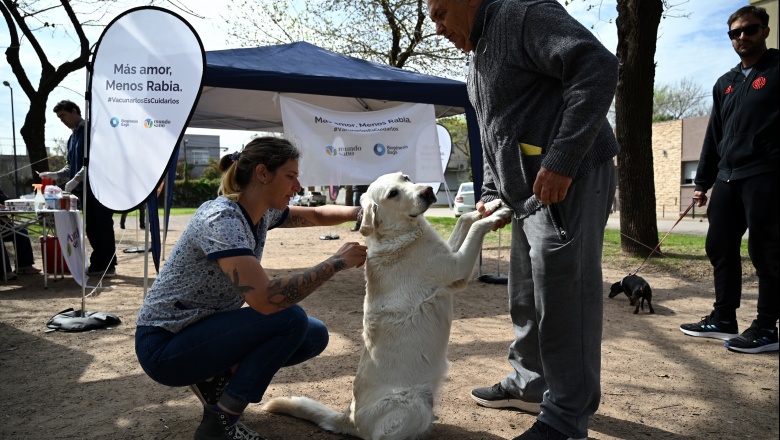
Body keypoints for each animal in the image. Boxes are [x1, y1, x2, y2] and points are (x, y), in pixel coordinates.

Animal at [266, 173, 516, 440]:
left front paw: (489, 206)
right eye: (393, 194)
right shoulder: (457, 268)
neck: (402, 234)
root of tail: (350, 417)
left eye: (406, 178)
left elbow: (464, 220)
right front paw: (495, 216)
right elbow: (476, 229)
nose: (428, 191)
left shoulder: (450, 253)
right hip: (414, 404)